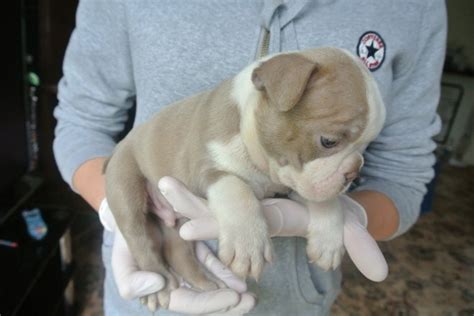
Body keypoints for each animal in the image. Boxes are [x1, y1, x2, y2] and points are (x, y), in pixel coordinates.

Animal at [103, 46, 386, 308]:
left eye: (366, 147)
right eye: (328, 141)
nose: (354, 171)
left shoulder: (296, 182)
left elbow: (324, 198)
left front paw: (328, 238)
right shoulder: (203, 169)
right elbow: (235, 187)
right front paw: (247, 244)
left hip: (178, 221)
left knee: (178, 247)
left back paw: (206, 284)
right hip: (125, 185)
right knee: (139, 238)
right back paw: (156, 285)